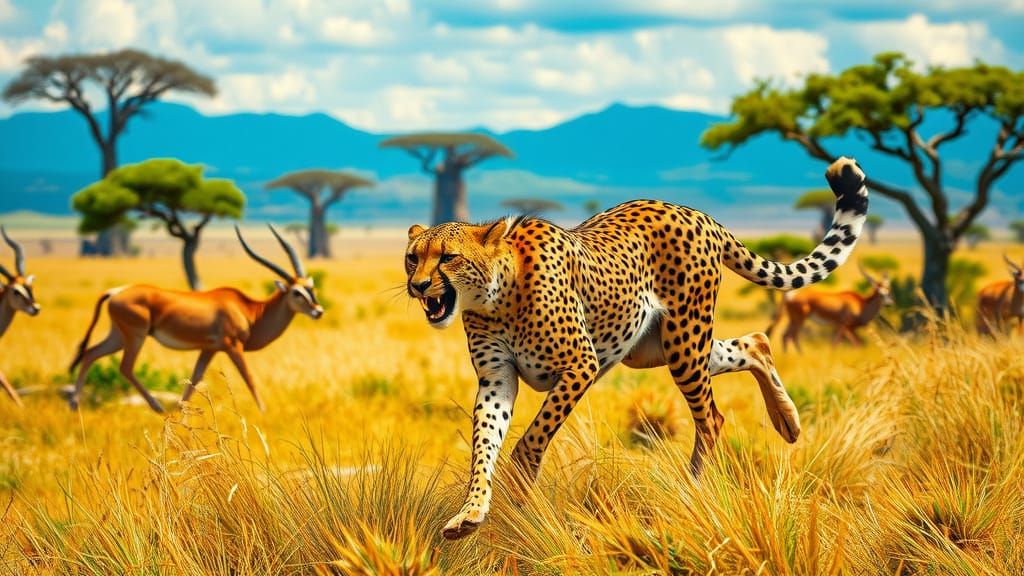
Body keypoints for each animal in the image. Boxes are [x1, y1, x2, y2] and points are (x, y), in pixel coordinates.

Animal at [404, 157, 868, 539]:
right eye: (413, 257)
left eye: (447, 257)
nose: (419, 285)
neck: (496, 296)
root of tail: (695, 212)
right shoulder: (496, 380)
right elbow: (483, 445)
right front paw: (471, 512)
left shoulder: (581, 365)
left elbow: (533, 437)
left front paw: (518, 487)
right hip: (652, 350)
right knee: (756, 342)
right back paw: (786, 420)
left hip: (684, 342)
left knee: (712, 417)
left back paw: (692, 490)